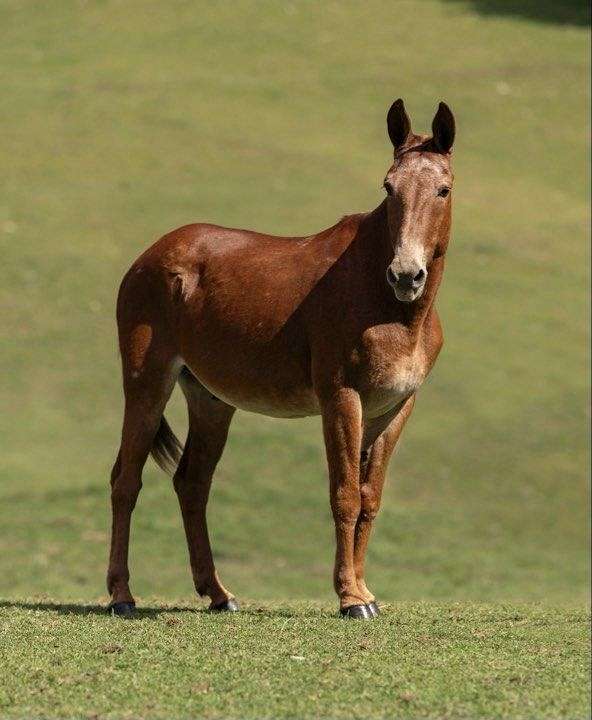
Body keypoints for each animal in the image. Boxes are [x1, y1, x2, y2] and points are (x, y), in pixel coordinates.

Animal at [107, 100, 458, 620]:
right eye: (388, 187)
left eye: (443, 189)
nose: (406, 274)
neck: (387, 305)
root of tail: (148, 258)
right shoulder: (341, 398)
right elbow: (345, 495)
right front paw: (350, 599)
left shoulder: (396, 407)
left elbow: (370, 498)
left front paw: (366, 592)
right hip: (147, 383)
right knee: (126, 480)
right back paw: (122, 596)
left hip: (210, 400)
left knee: (192, 484)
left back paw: (219, 594)